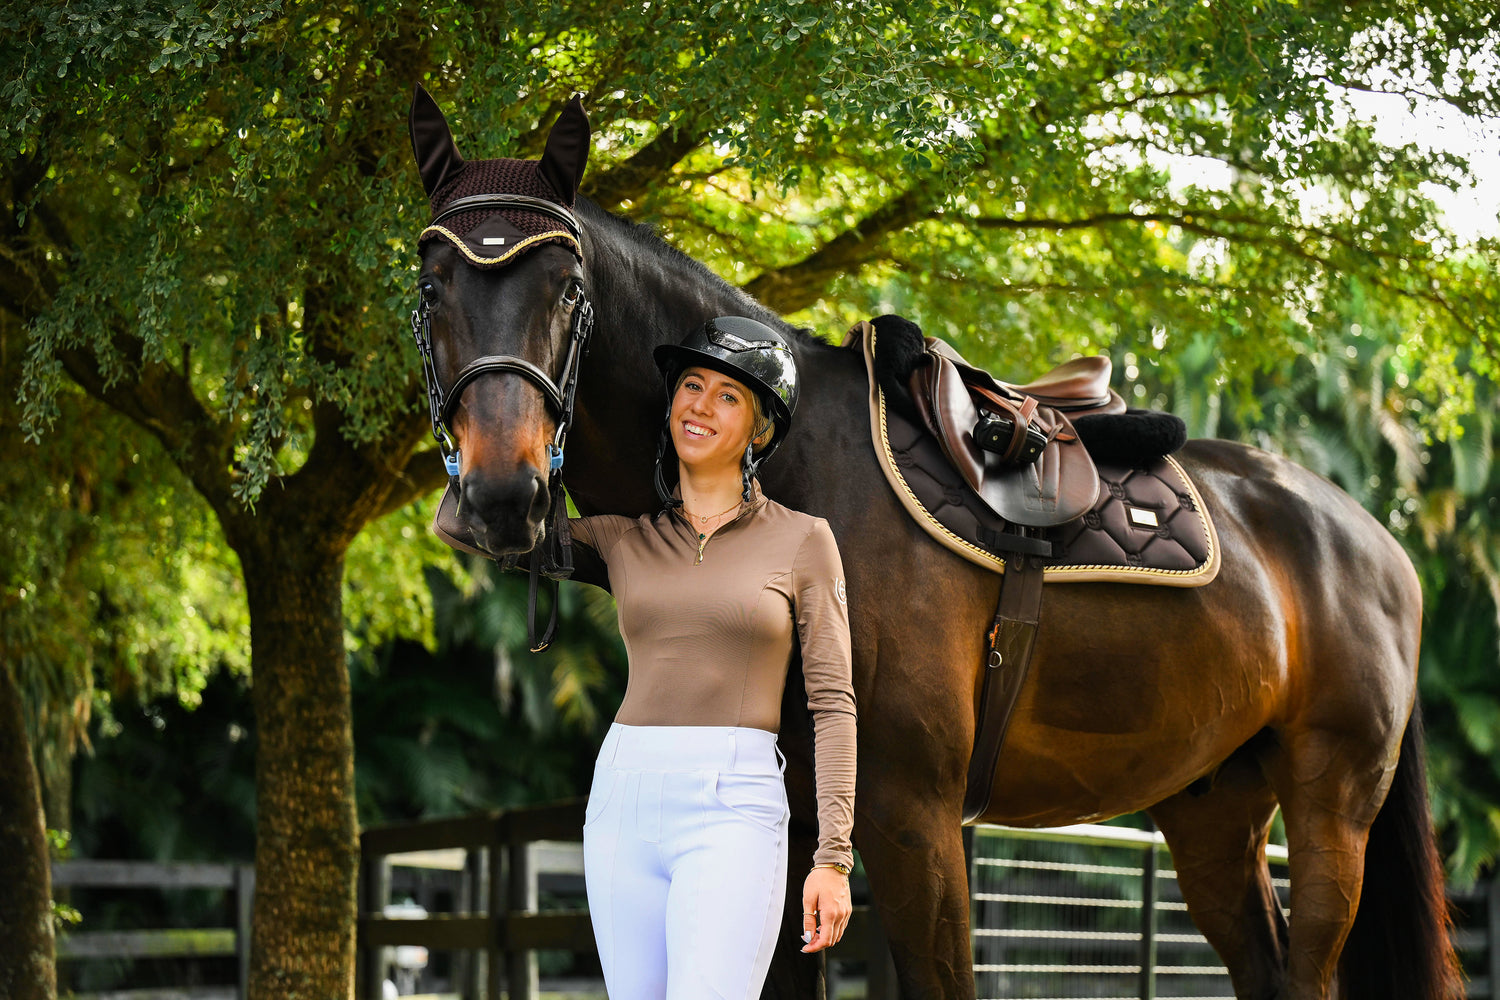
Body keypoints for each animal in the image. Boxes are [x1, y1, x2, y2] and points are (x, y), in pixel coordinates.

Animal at [405, 88, 1458, 1000]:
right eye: (432, 283)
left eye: (566, 286)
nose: (502, 493)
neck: (797, 471)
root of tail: (1379, 544)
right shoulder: (794, 829)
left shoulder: (911, 817)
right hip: (1212, 811)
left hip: (1331, 812)